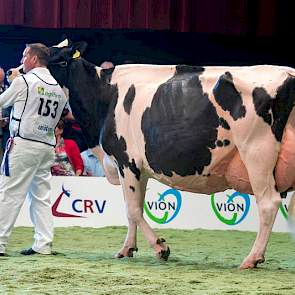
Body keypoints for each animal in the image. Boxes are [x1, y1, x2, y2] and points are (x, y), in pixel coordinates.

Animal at [9, 40, 295, 270]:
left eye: (56, 57)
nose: (13, 71)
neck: (104, 95)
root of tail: (288, 72)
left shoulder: (126, 161)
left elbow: (134, 210)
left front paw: (161, 248)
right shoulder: (138, 168)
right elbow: (131, 209)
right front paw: (127, 248)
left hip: (256, 152)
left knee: (269, 203)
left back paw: (251, 258)